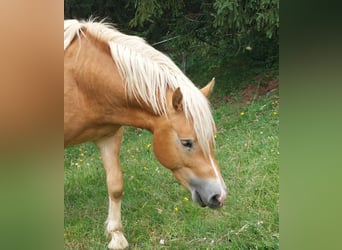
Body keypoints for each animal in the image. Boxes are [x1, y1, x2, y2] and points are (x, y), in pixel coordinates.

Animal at [64, 18, 227, 249]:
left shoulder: (108, 137)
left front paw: (116, 235)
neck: (80, 81)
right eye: (186, 142)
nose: (219, 196)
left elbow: (115, 185)